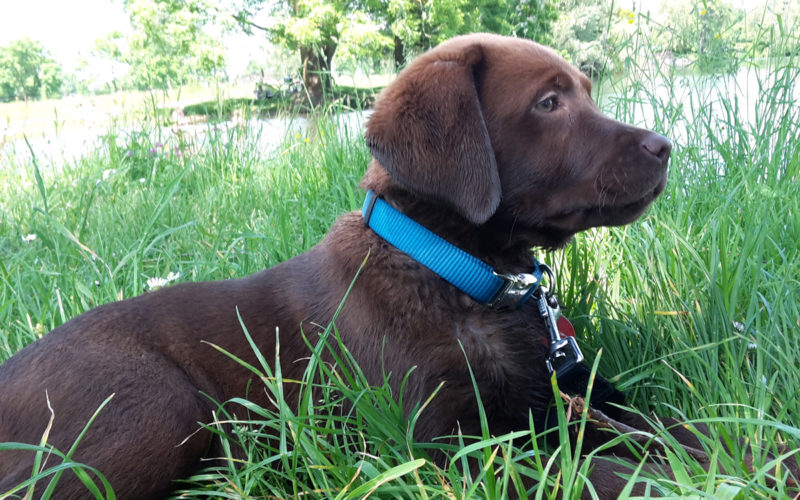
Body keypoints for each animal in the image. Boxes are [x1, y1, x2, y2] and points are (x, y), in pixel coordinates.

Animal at [0, 34, 672, 496]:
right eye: (549, 103)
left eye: (585, 92)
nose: (665, 146)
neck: (457, 273)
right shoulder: (445, 445)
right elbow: (584, 471)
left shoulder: (565, 396)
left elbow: (656, 428)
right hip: (160, 407)